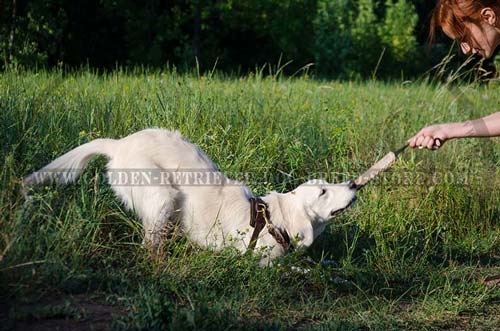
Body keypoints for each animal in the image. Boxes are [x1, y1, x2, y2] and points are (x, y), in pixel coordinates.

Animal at [23, 128, 358, 266]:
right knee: (149, 244)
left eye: (328, 183)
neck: (273, 220)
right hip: (162, 194)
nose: (355, 185)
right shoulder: (260, 262)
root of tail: (119, 144)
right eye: (323, 191)